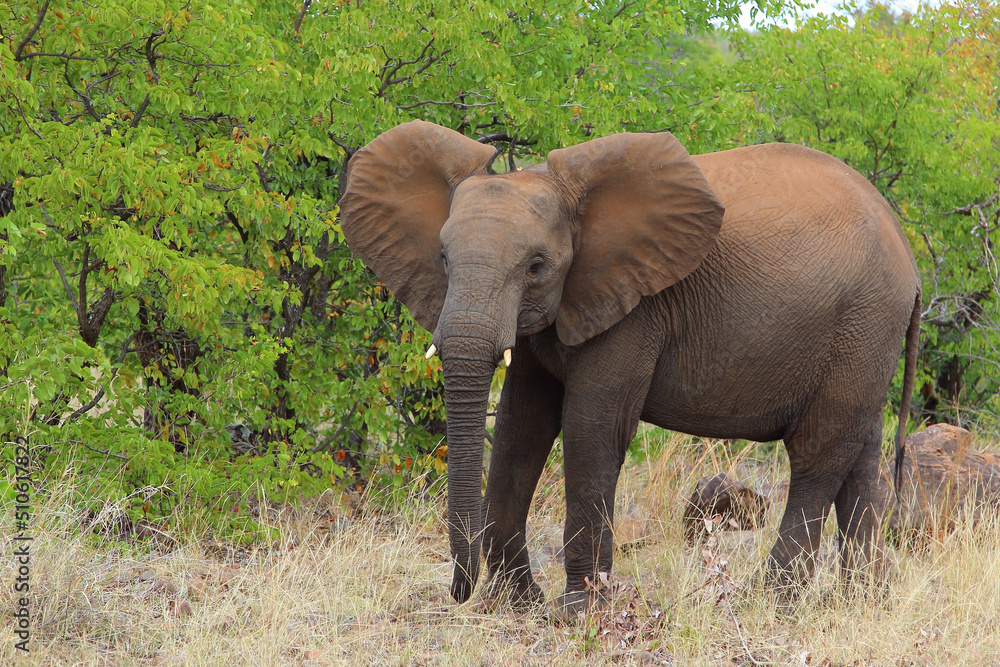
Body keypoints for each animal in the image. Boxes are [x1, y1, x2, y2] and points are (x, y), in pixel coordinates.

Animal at [339, 120, 921, 616]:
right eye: (441, 258)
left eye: (536, 266)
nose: (459, 591)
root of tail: (909, 257)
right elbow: (519, 428)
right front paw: (516, 604)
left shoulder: (635, 308)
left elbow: (590, 428)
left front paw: (577, 612)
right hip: (864, 336)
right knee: (860, 453)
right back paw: (862, 602)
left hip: (863, 322)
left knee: (818, 455)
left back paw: (771, 603)